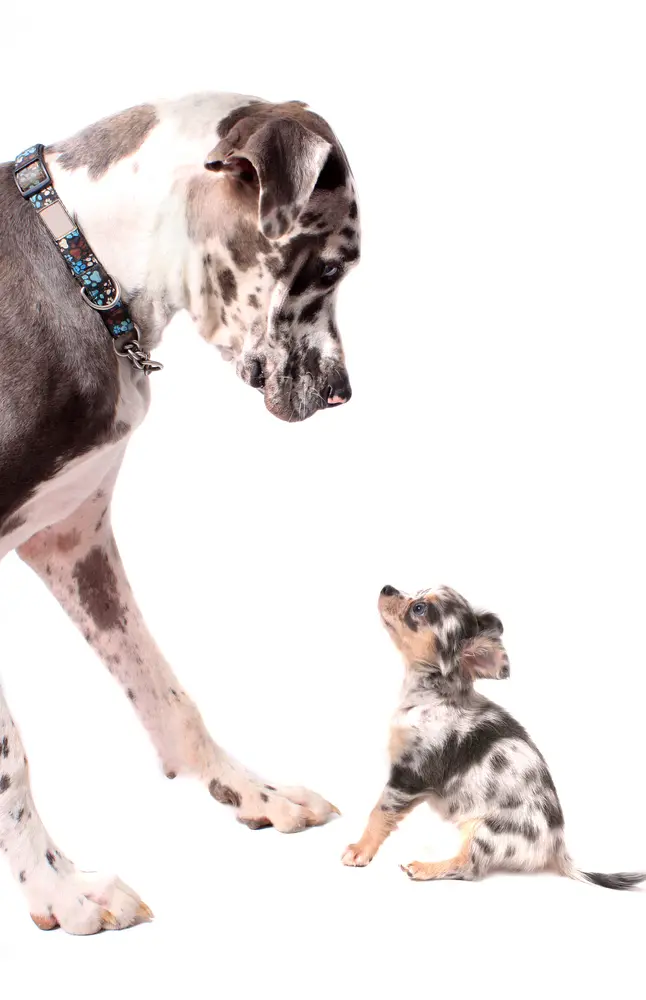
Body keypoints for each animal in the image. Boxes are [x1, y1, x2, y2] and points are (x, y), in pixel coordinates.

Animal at [0, 90, 362, 932]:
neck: (86, 265)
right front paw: (58, 887)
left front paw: (250, 788)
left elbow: (165, 690)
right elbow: (9, 754)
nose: (342, 392)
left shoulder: (71, 539)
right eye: (332, 267)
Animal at [342, 584, 644, 888]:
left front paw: (360, 850)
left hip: (485, 831)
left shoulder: (409, 776)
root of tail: (557, 847)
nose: (387, 588)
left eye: (419, 608)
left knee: (468, 868)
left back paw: (426, 867)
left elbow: (379, 812)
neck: (430, 697)